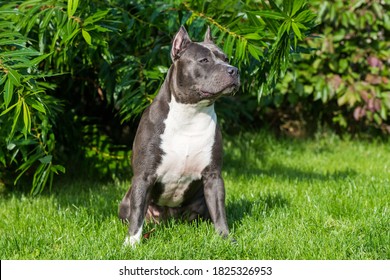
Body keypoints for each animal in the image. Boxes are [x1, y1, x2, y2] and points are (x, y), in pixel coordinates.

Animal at [119, 25, 239, 246]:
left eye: (226, 58)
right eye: (204, 60)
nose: (234, 70)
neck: (191, 114)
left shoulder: (213, 176)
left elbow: (220, 212)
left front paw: (225, 238)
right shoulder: (144, 176)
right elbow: (137, 212)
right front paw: (131, 243)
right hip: (126, 201)